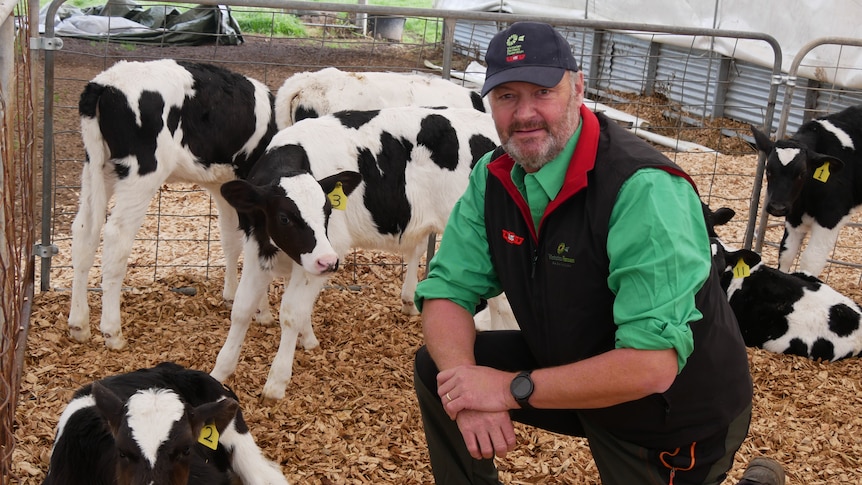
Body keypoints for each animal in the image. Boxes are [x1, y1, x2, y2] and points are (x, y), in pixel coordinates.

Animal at [69, 59, 276, 348]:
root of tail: (105, 82)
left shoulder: (224, 188)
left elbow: (230, 240)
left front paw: (232, 295)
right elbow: (257, 246)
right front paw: (262, 310)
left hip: (96, 168)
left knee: (84, 231)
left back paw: (79, 324)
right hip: (142, 171)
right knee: (116, 236)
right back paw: (112, 332)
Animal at [208, 105, 500, 398]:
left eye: (328, 211)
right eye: (284, 218)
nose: (329, 262)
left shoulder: (328, 248)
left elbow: (291, 312)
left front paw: (276, 383)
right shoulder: (258, 249)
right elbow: (242, 308)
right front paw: (220, 371)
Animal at [752, 103, 862, 274]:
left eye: (802, 173)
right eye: (768, 170)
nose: (777, 207)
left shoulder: (831, 216)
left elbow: (811, 260)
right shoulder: (793, 215)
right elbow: (786, 253)